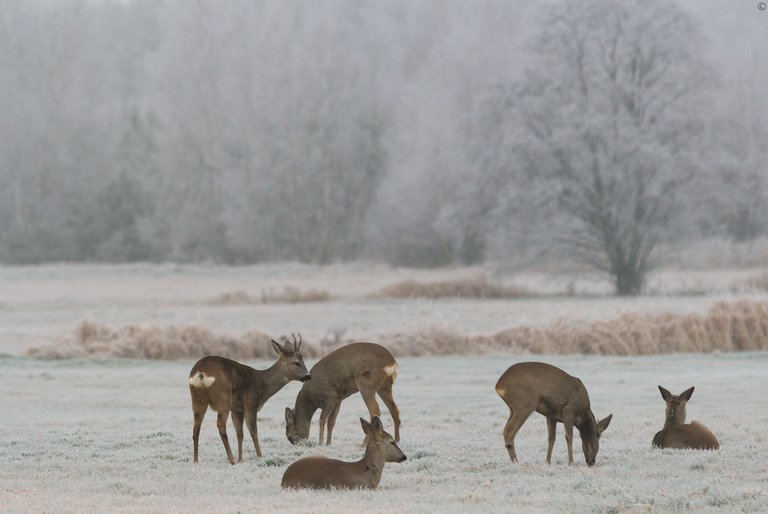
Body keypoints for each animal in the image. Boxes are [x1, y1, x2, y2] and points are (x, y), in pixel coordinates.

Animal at [188, 334, 310, 462]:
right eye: (297, 363)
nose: (309, 376)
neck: (263, 384)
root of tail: (201, 372)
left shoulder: (237, 409)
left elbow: (240, 434)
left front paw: (241, 459)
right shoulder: (251, 404)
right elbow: (254, 432)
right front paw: (259, 456)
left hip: (197, 399)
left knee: (196, 429)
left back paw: (196, 461)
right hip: (222, 398)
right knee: (220, 426)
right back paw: (231, 460)